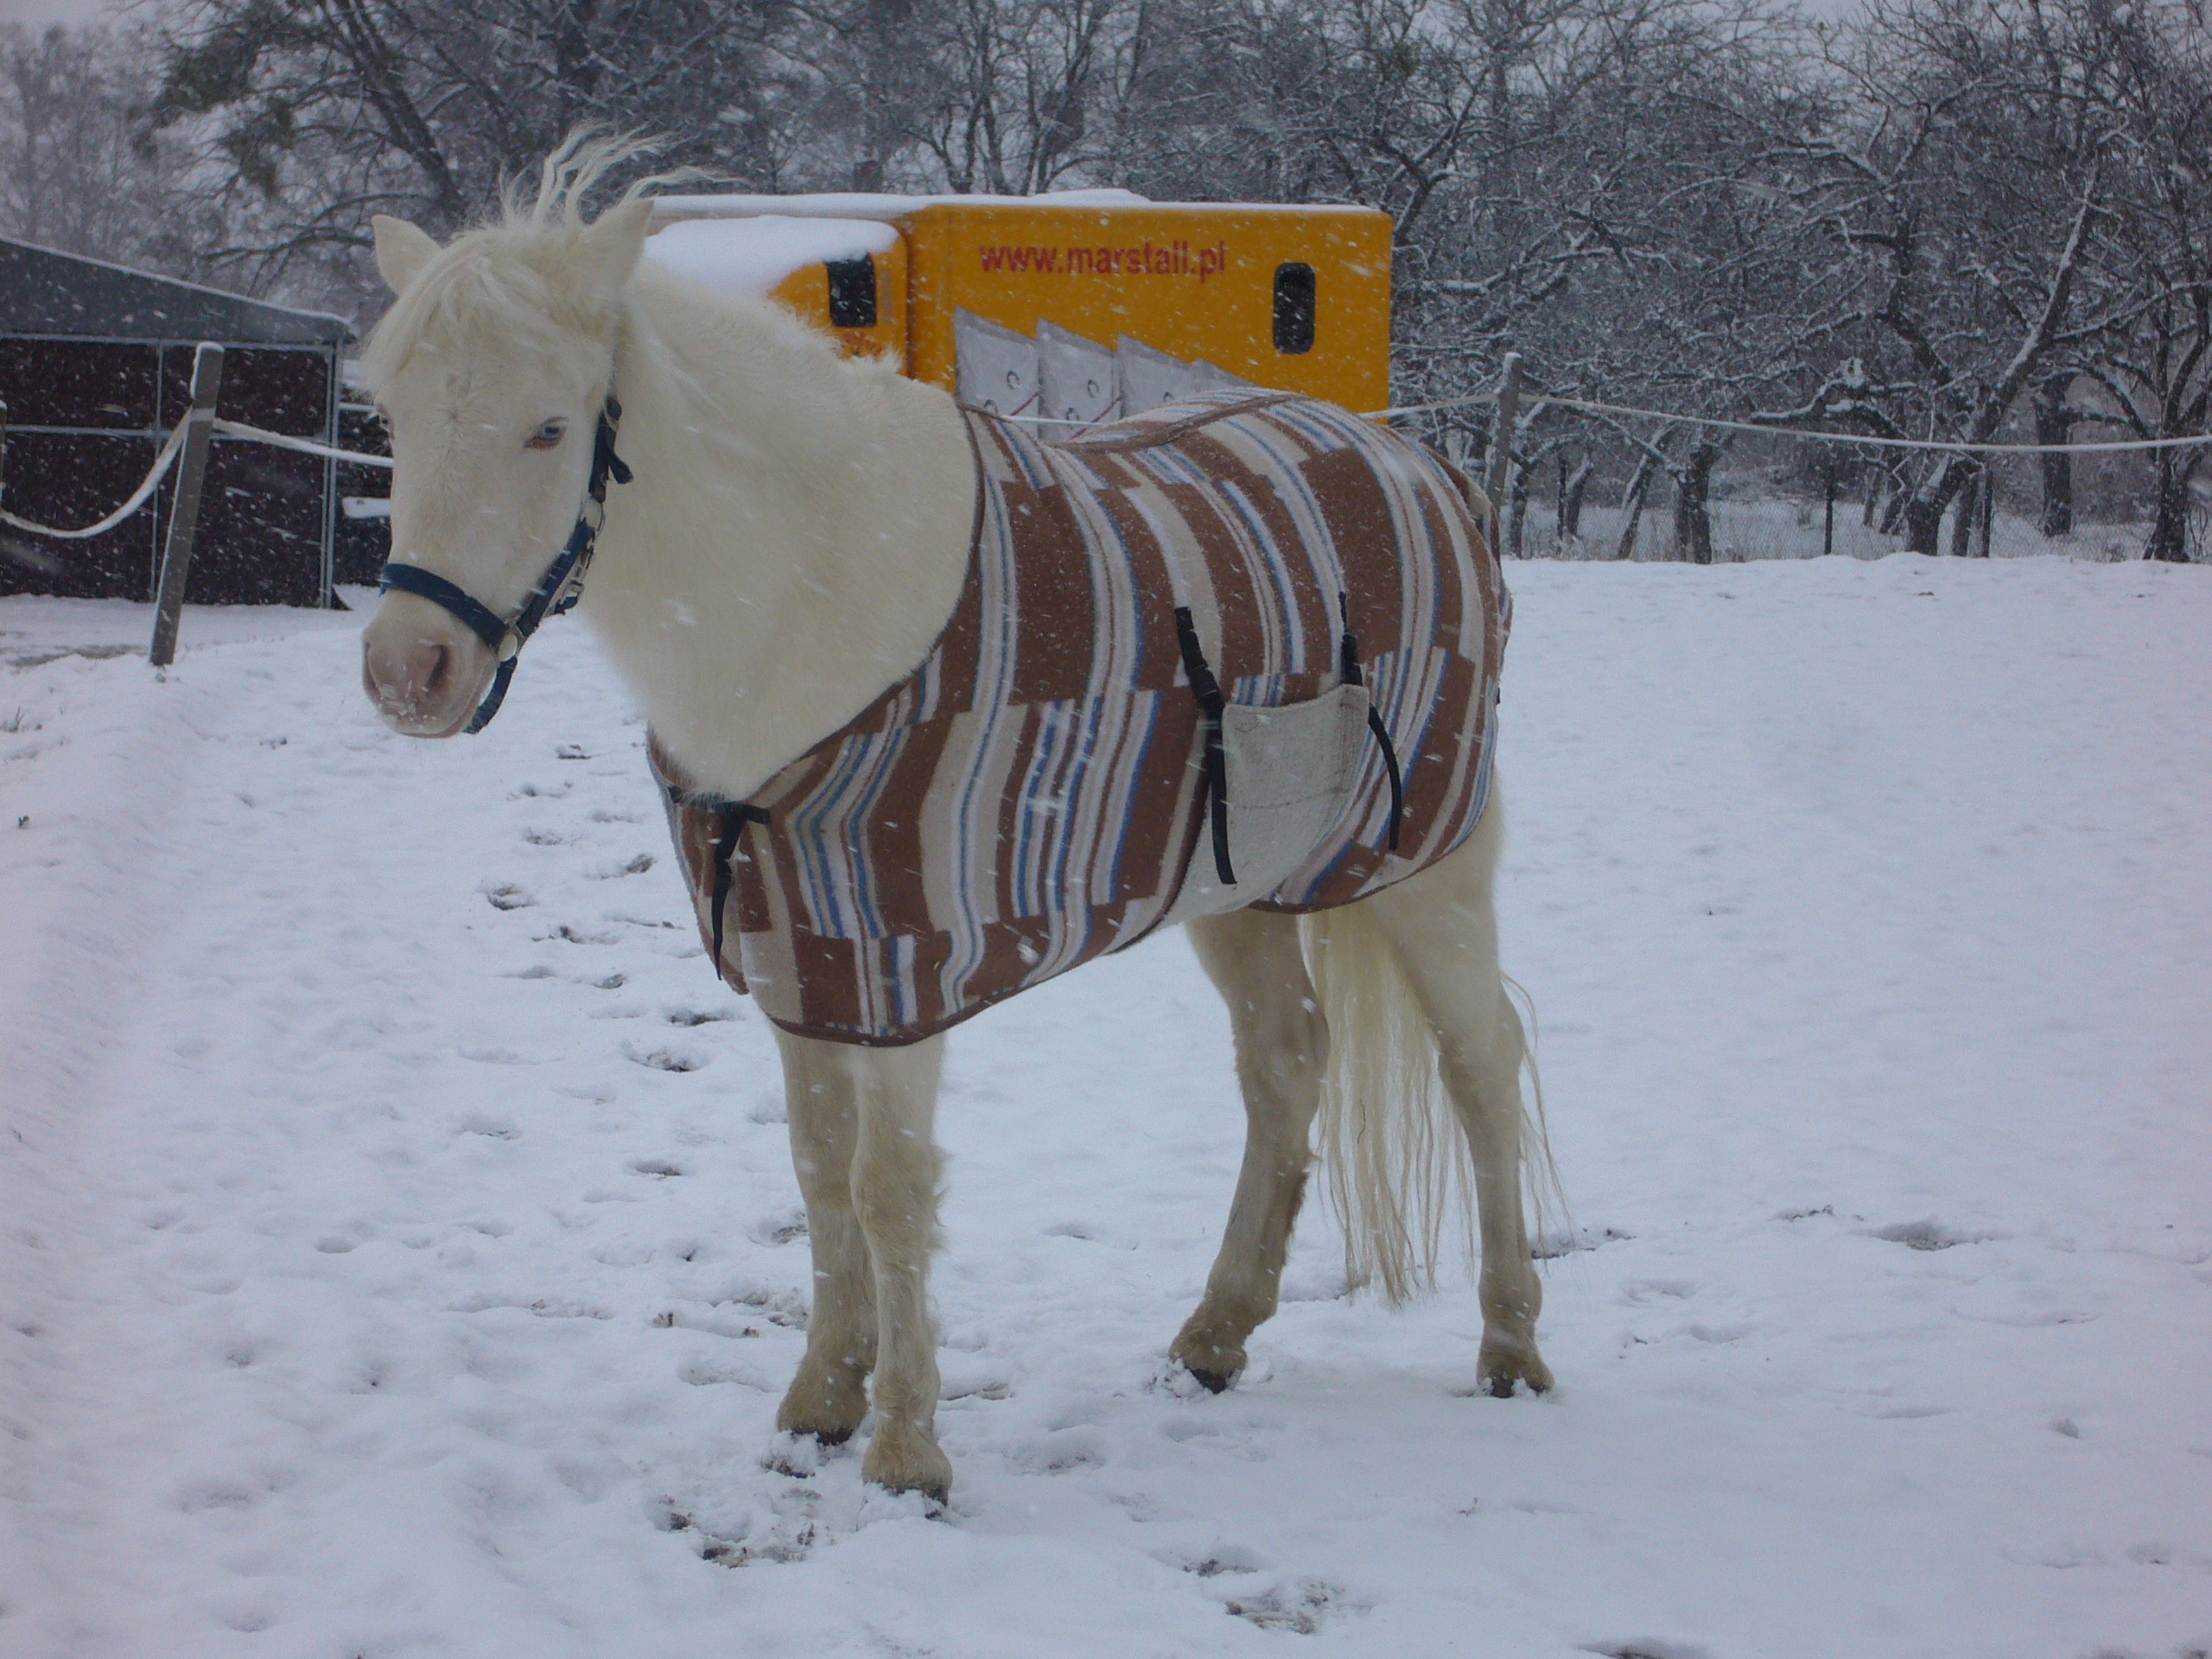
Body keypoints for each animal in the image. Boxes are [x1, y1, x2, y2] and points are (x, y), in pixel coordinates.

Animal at [353, 137, 1548, 1503]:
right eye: (393, 419)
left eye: (549, 427)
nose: (408, 673)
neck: (804, 597)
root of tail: (1429, 471)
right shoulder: (802, 955)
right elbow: (816, 1169)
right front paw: (819, 1403)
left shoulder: (900, 963)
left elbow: (887, 1187)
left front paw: (908, 1454)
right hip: (1238, 883)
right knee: (1285, 1063)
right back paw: (1215, 1335)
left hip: (1427, 864)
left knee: (1480, 1065)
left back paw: (1510, 1348)